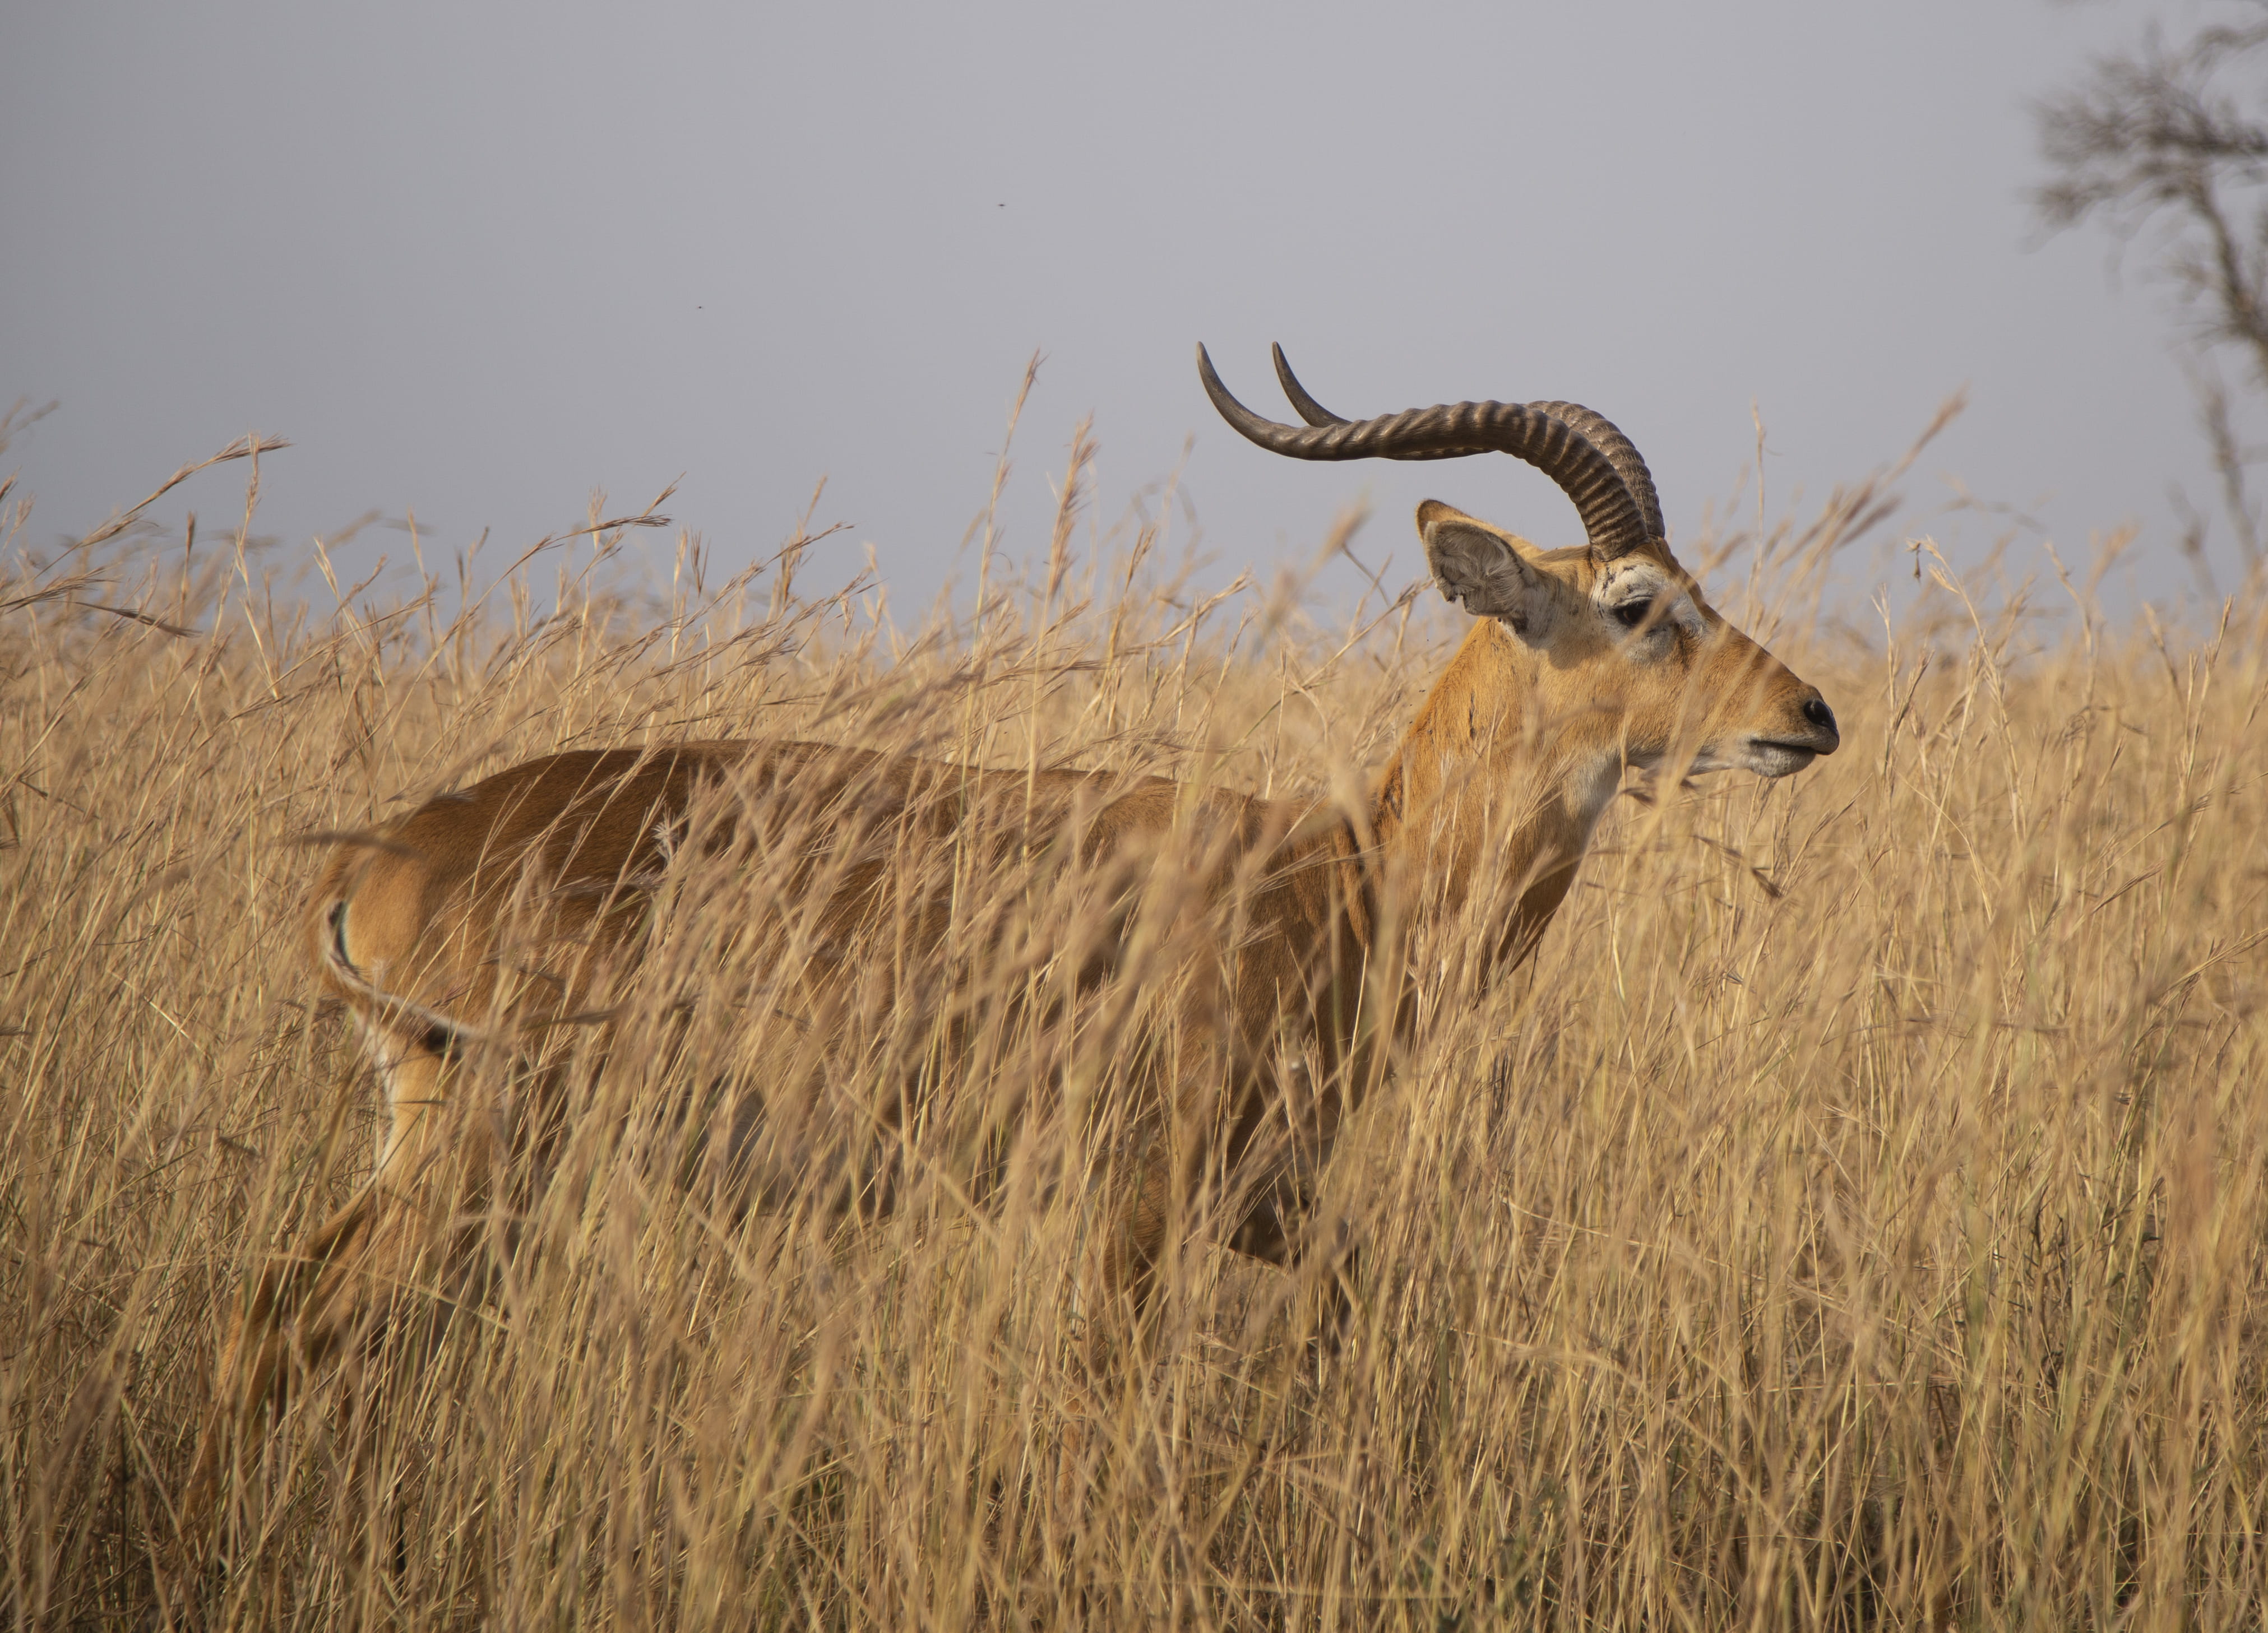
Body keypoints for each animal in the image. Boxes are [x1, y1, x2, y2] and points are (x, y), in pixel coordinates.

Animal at [200, 345, 1839, 1500]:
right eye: (1635, 603)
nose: (1807, 715)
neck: (1345, 872)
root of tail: (384, 860)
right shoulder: (1138, 1196)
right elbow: (1093, 1409)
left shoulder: (1265, 1197)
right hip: (485, 1146)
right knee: (288, 1319)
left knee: (274, 1310)